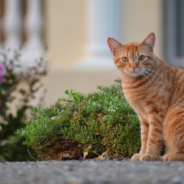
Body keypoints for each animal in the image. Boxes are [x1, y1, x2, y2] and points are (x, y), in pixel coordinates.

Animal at [107, 33, 184, 161]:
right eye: (125, 59)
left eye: (141, 57)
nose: (134, 67)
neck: (132, 84)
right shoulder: (143, 117)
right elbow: (144, 138)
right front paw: (142, 153)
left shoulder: (157, 114)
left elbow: (153, 137)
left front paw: (150, 155)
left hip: (173, 117)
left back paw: (169, 156)